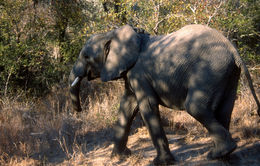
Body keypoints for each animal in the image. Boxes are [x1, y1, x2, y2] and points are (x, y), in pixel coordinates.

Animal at [69, 24, 260, 165]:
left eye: (86, 57)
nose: (78, 110)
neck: (114, 34)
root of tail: (233, 50)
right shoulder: (132, 74)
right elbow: (127, 107)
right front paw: (118, 157)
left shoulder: (139, 73)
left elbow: (147, 105)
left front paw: (160, 162)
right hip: (227, 74)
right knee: (225, 110)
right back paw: (224, 157)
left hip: (211, 71)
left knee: (195, 107)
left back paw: (217, 154)